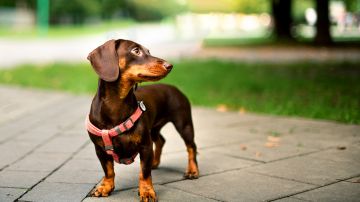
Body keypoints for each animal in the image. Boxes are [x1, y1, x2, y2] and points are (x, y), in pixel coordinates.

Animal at [86, 39, 200, 200]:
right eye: (136, 51)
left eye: (148, 51)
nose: (169, 65)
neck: (116, 104)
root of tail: (176, 89)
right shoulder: (100, 149)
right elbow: (108, 170)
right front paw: (105, 187)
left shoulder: (145, 146)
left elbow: (144, 172)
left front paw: (147, 191)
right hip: (154, 129)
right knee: (161, 141)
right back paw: (155, 162)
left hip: (183, 124)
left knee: (191, 147)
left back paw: (192, 170)